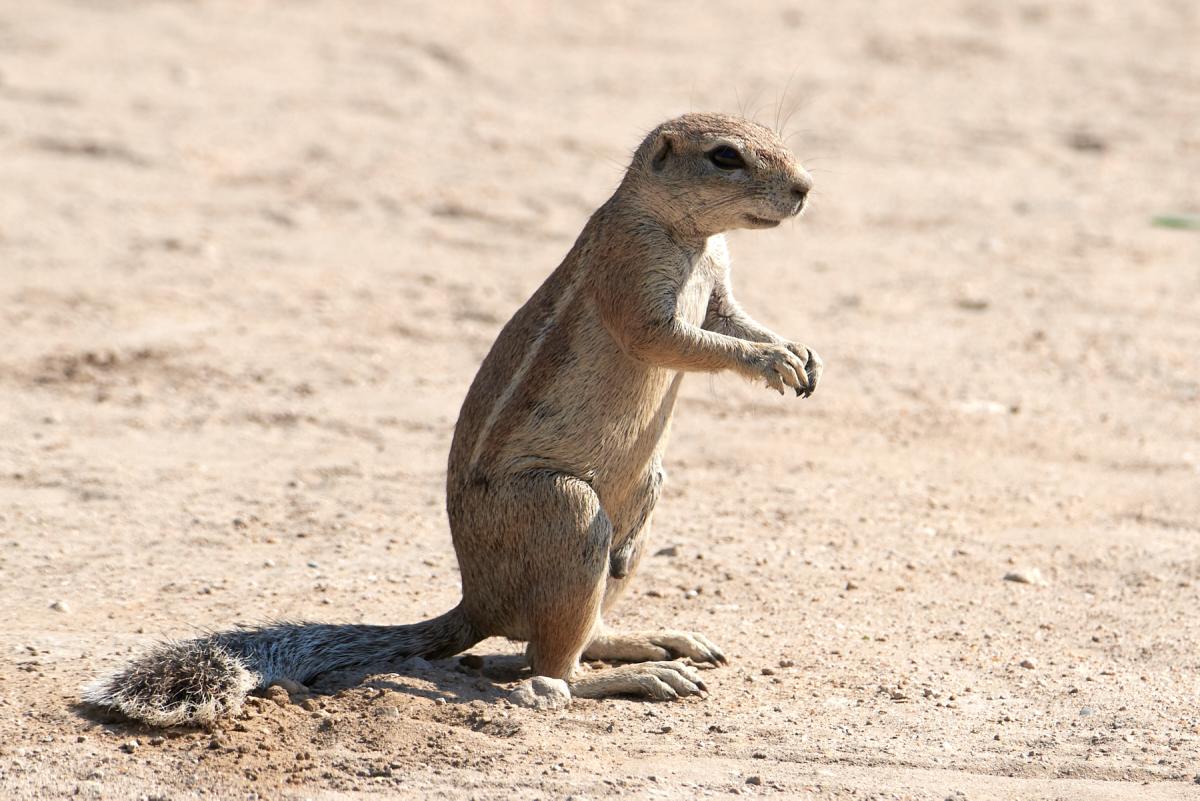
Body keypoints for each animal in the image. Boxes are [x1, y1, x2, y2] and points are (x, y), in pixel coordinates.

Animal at [82, 112, 816, 724]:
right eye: (725, 156)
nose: (806, 188)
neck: (690, 236)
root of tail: (477, 599)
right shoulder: (630, 278)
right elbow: (679, 340)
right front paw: (772, 360)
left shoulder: (717, 288)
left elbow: (730, 318)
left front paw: (799, 352)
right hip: (567, 509)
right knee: (546, 676)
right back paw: (638, 678)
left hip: (642, 501)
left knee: (569, 637)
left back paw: (655, 639)